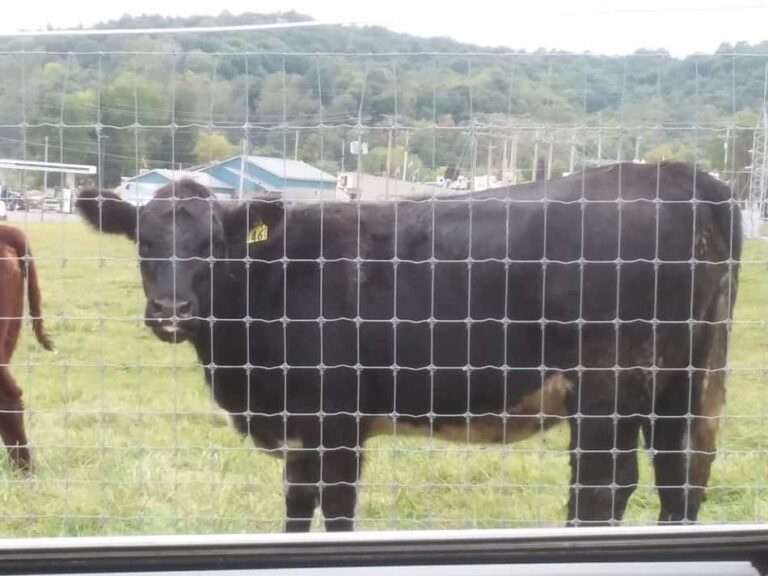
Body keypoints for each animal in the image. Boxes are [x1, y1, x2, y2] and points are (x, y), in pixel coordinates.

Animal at [75, 162, 740, 532]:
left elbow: (337, 508)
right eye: (143, 242)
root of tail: (676, 173)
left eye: (213, 244)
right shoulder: (298, 426)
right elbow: (297, 505)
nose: (171, 311)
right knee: (680, 474)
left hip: (610, 383)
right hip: (686, 376)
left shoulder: (336, 421)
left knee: (603, 486)